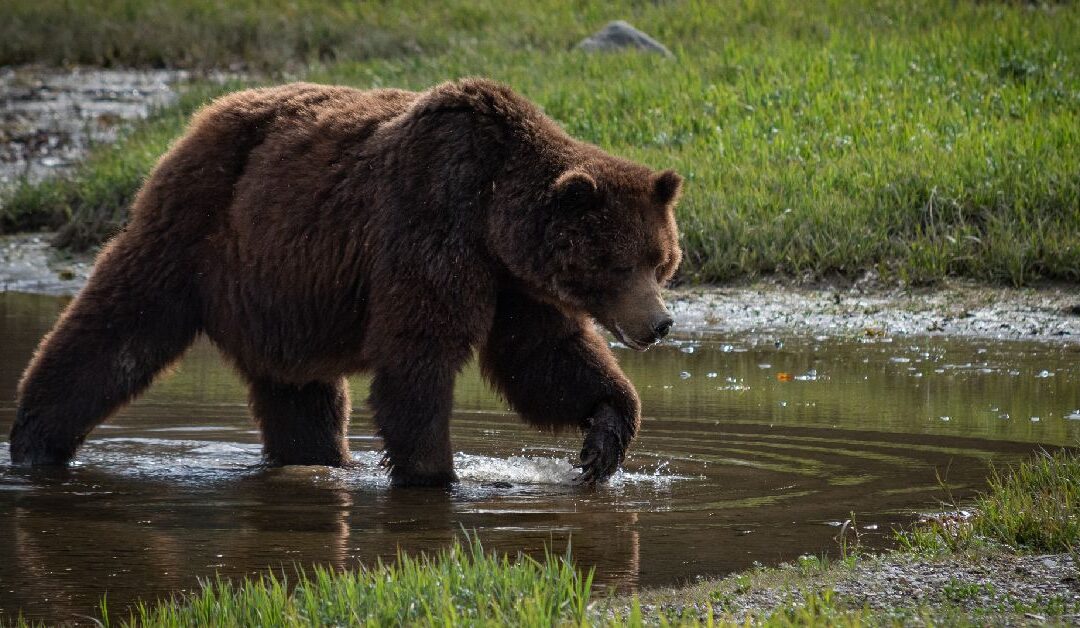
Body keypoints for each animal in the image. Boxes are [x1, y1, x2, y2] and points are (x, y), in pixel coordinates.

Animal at [9, 79, 683, 487]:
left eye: (662, 261)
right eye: (620, 264)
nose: (659, 324)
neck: (492, 216)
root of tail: (201, 117)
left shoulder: (514, 285)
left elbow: (544, 359)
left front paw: (603, 439)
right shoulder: (430, 229)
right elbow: (418, 360)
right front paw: (435, 472)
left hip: (280, 298)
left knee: (301, 395)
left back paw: (317, 457)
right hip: (195, 230)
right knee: (117, 330)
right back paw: (34, 440)